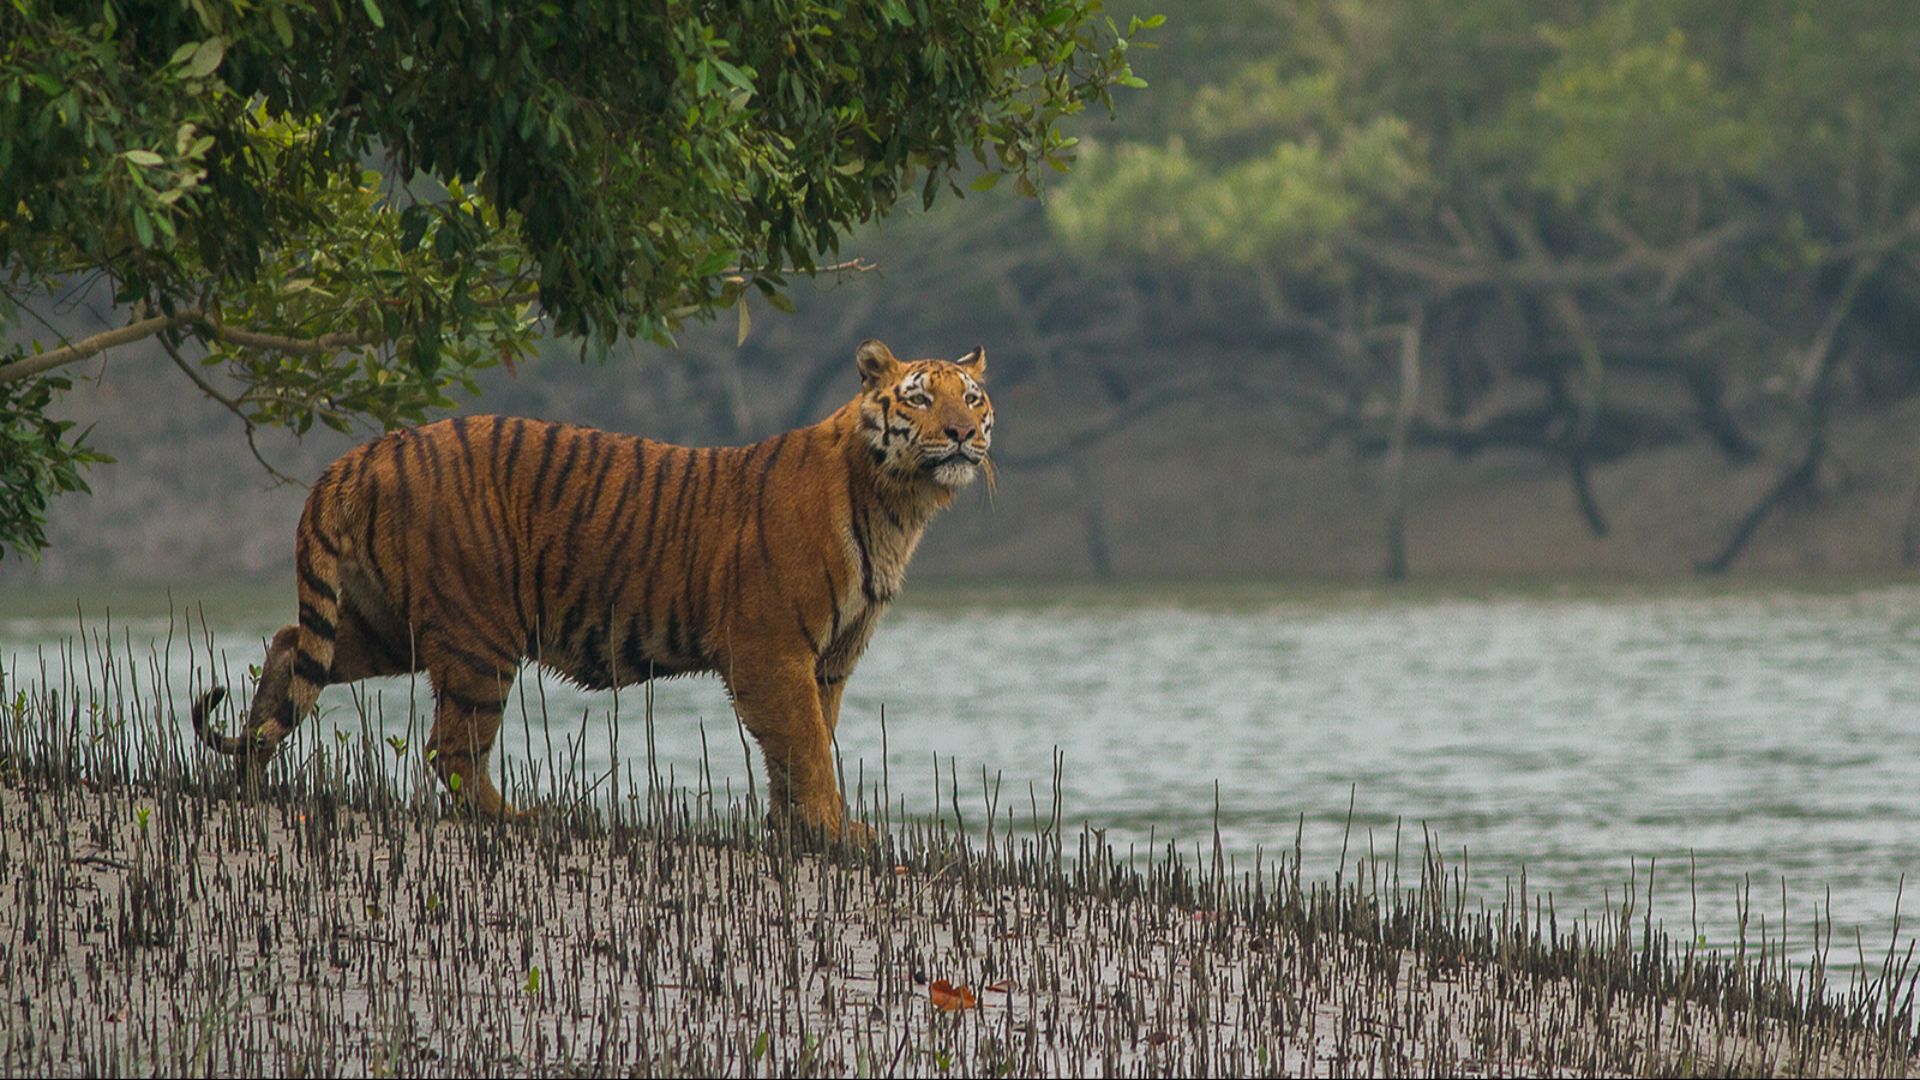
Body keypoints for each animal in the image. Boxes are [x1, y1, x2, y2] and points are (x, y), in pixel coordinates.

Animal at [191, 338, 993, 842]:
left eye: (973, 399)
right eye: (920, 400)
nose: (961, 434)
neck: (898, 503)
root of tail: (365, 451)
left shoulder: (828, 660)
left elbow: (803, 746)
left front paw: (800, 829)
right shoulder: (772, 649)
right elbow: (805, 746)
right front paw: (834, 831)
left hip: (388, 624)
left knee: (291, 646)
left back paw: (250, 773)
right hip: (478, 634)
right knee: (451, 750)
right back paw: (516, 819)